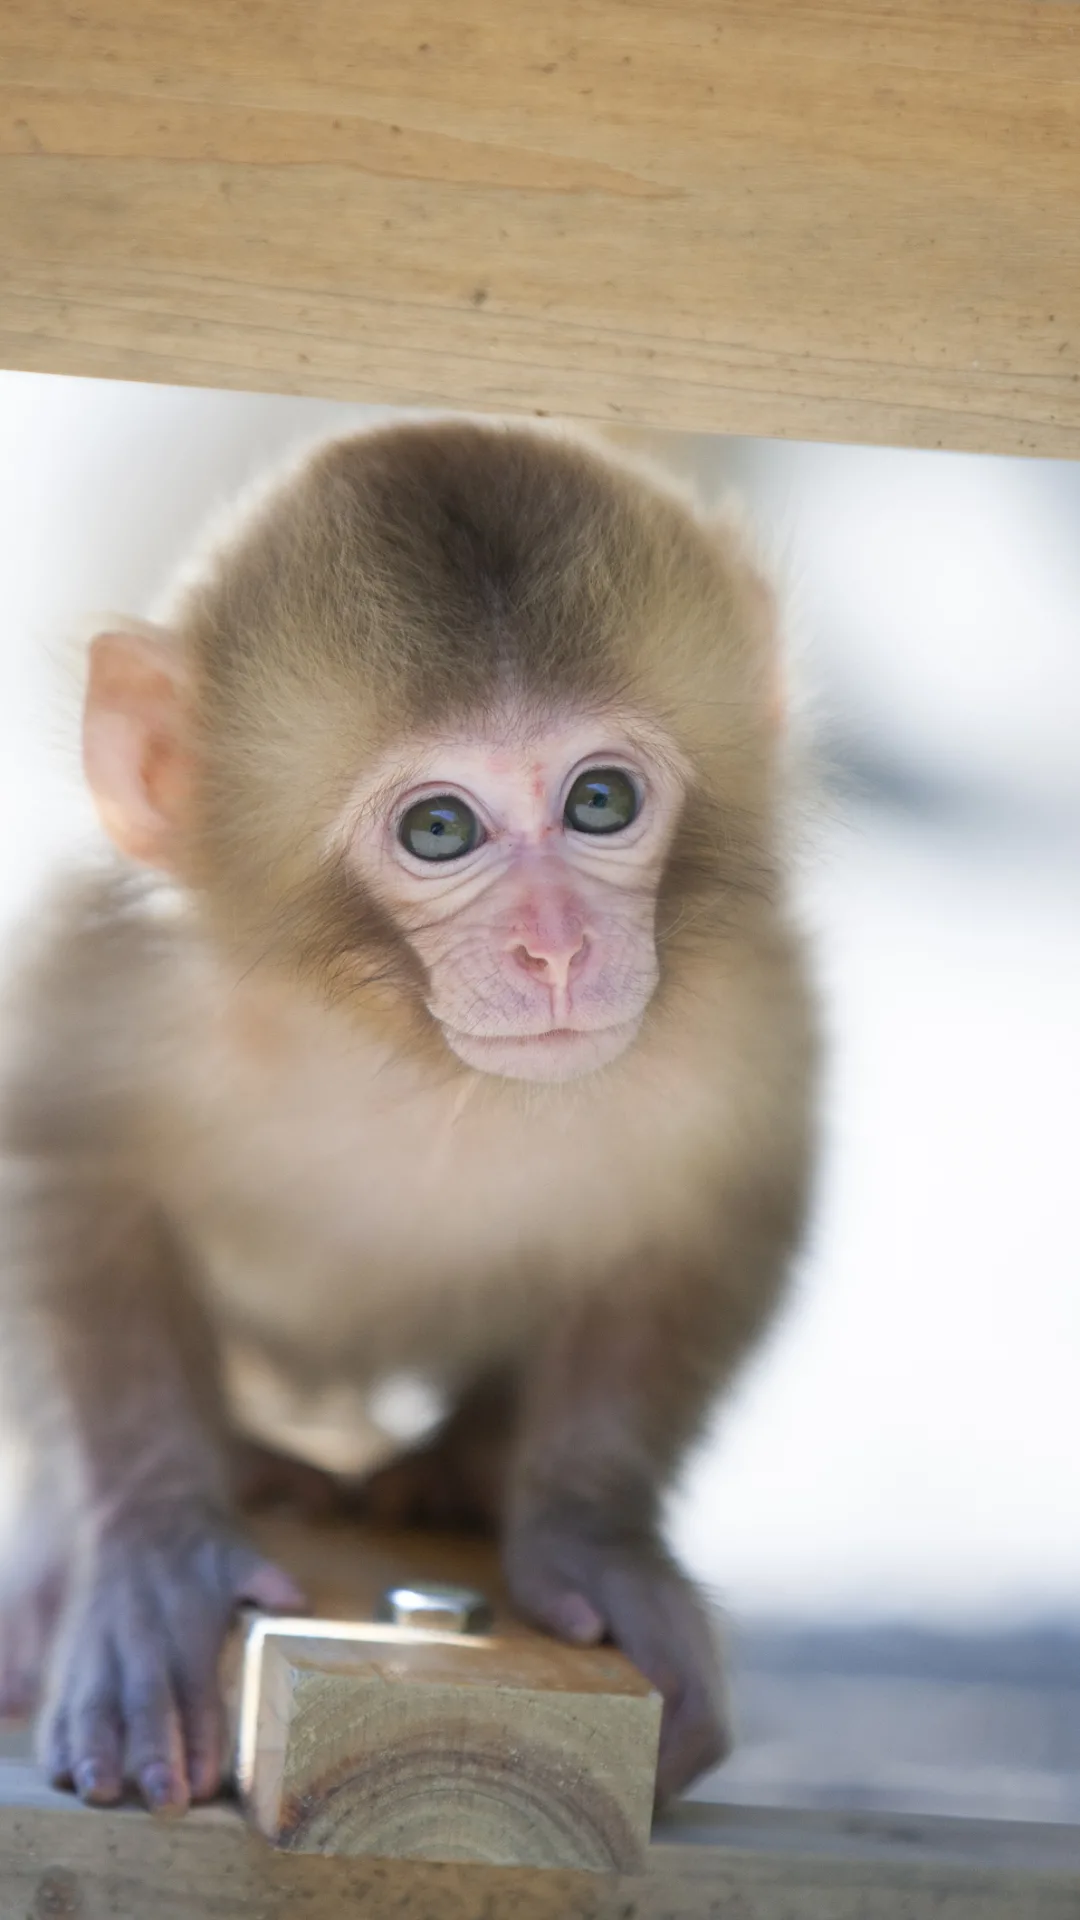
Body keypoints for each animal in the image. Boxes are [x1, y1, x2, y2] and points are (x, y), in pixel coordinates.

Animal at [0, 420, 810, 1812]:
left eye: (602, 802)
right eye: (440, 827)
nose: (558, 948)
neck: (402, 1036)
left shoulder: (739, 1012)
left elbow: (710, 1221)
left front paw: (590, 1537)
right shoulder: (116, 968)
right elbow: (66, 1173)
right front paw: (154, 1554)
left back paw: (452, 1475)